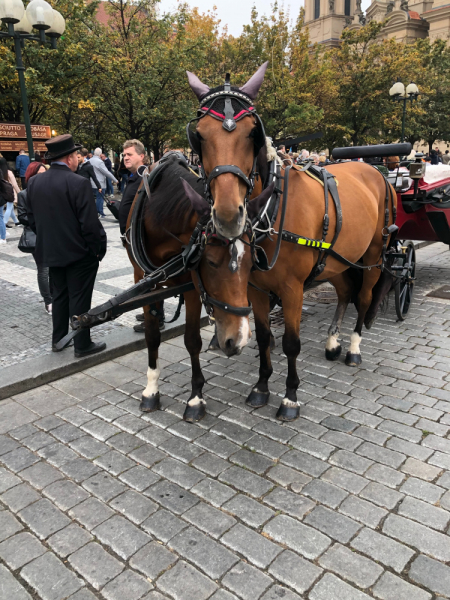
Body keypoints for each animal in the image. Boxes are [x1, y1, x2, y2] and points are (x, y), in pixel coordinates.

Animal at [184, 65, 398, 422]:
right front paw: (262, 386)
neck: (272, 208)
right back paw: (332, 343)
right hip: (338, 261)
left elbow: (291, 343)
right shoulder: (255, 288)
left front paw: (290, 397)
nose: (228, 215)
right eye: (199, 134)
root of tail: (375, 169)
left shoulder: (293, 288)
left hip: (373, 257)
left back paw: (353, 348)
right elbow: (264, 337)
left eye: (252, 133)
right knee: (344, 293)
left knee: (364, 297)